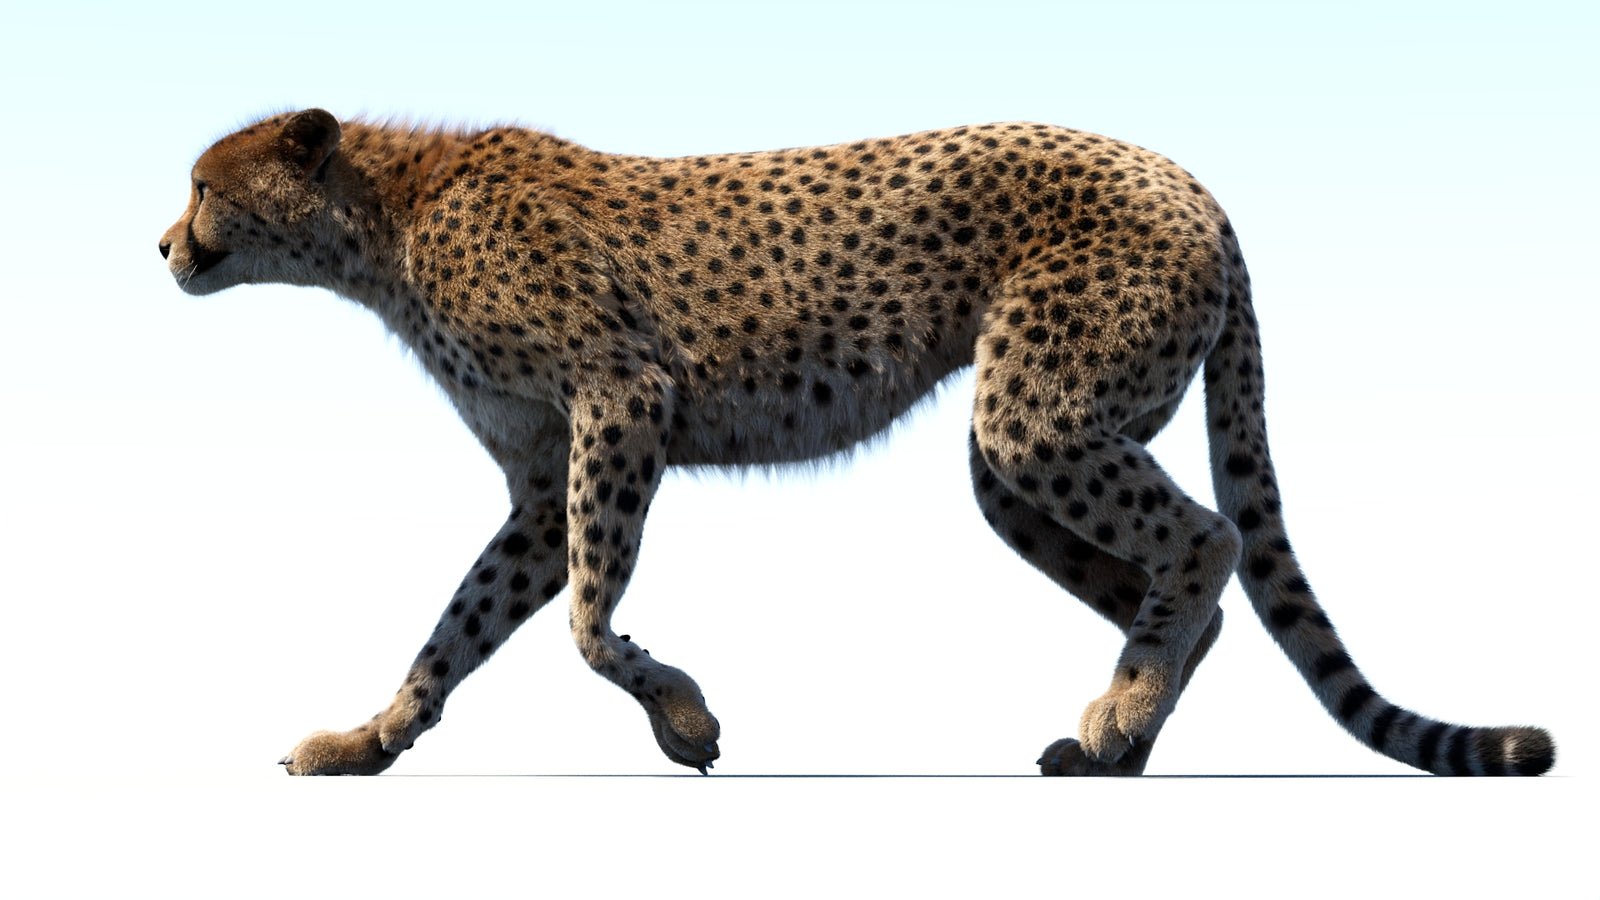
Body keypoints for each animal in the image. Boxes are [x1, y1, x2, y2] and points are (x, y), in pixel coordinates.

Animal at [160, 109, 1555, 776]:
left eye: (204, 185)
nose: (165, 243)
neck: (379, 223)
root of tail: (1190, 180)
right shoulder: (542, 480)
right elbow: (459, 628)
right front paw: (370, 740)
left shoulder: (623, 398)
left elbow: (589, 623)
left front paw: (683, 717)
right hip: (1022, 454)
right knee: (1187, 590)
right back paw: (1118, 734)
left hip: (1034, 413)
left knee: (1207, 541)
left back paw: (1121, 713)